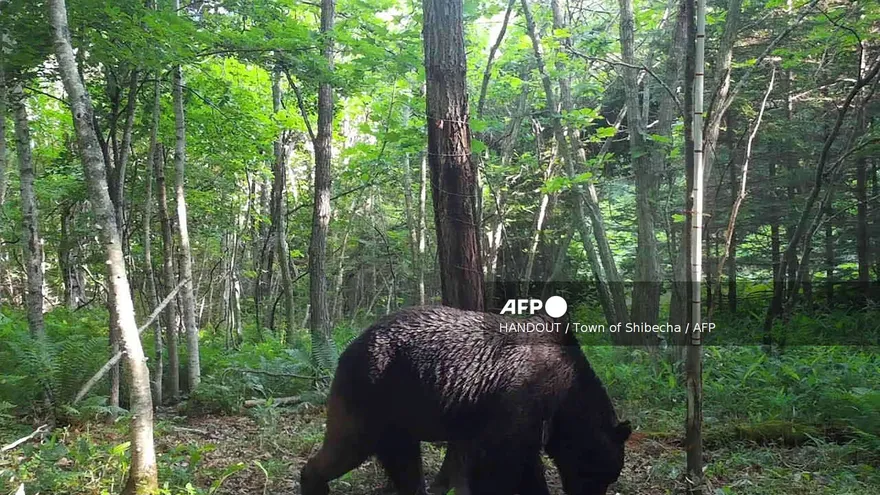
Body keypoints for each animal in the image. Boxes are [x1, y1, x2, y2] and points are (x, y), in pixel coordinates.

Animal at [300, 306, 630, 495]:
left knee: (403, 462)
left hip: (398, 415)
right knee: (347, 445)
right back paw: (313, 482)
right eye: (605, 474)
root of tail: (348, 347)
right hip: (371, 393)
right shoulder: (521, 400)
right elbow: (502, 463)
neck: (566, 398)